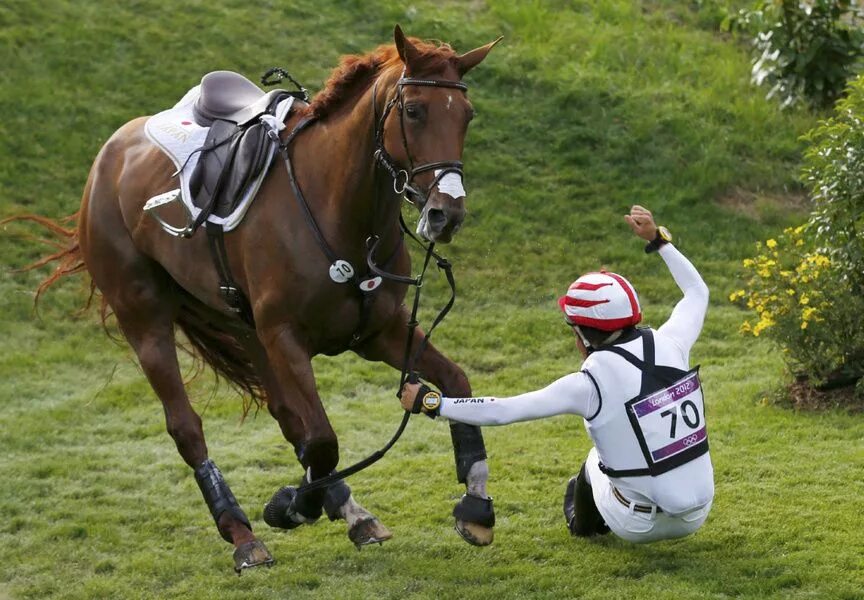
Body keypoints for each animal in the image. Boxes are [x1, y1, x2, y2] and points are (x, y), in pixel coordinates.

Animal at [27, 27, 500, 572]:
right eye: (416, 111)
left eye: (466, 116)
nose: (447, 214)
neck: (339, 209)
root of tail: (109, 153)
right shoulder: (286, 337)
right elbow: (324, 440)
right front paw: (292, 506)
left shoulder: (378, 330)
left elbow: (455, 384)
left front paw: (476, 504)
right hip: (144, 318)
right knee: (189, 427)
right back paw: (243, 534)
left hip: (240, 324)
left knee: (289, 417)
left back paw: (349, 512)